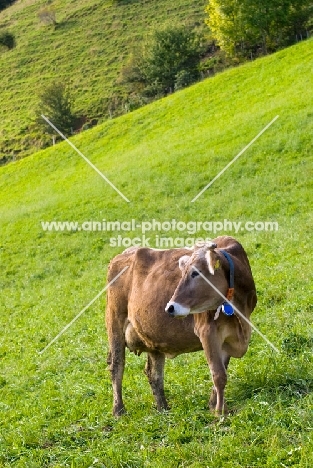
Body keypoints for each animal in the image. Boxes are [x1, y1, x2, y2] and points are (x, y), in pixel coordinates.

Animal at [105, 236, 256, 414]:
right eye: (182, 273)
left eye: (195, 273)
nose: (170, 307)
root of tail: (124, 254)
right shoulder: (207, 331)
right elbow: (218, 375)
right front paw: (220, 412)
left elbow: (222, 370)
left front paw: (213, 405)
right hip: (114, 322)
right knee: (117, 366)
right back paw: (119, 410)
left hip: (152, 337)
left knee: (153, 372)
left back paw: (163, 409)